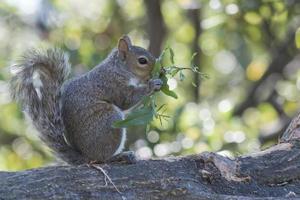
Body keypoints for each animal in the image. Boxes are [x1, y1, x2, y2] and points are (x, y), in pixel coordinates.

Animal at [9, 35, 162, 164]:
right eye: (142, 61)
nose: (160, 69)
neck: (119, 68)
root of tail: (86, 156)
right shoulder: (112, 84)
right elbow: (126, 100)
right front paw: (153, 85)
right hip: (110, 120)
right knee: (102, 158)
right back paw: (119, 156)